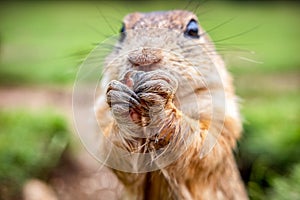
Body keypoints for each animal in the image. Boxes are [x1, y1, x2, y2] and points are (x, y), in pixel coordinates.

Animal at [95, 10, 247, 199]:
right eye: (122, 30)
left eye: (193, 29)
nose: (143, 57)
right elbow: (115, 154)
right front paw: (120, 98)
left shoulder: (221, 115)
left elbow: (202, 145)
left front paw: (159, 101)